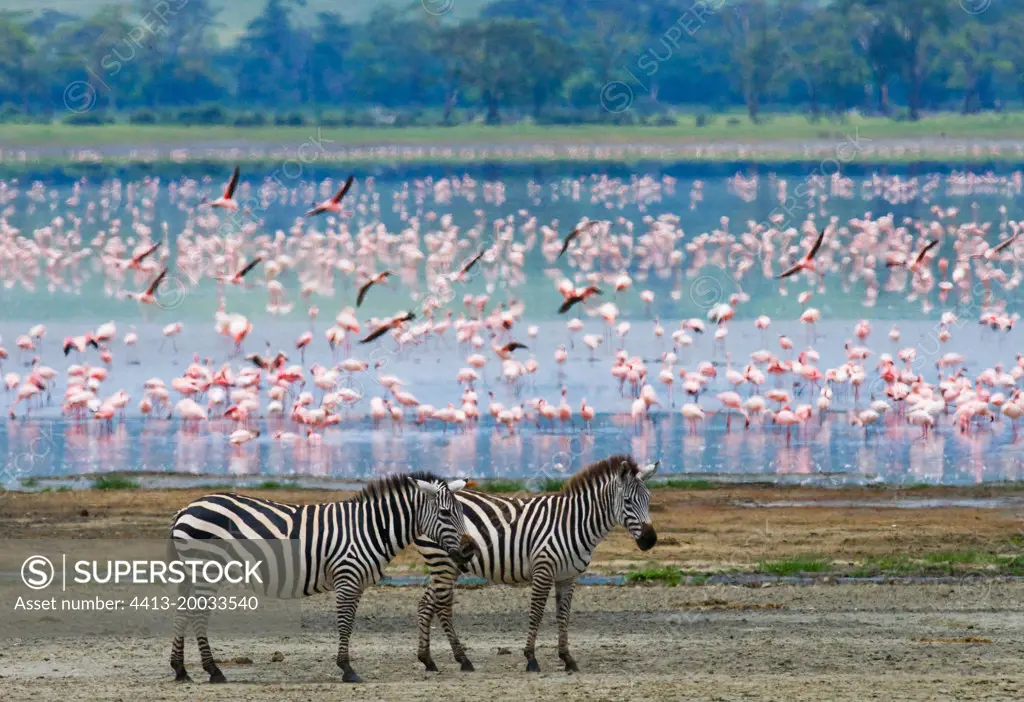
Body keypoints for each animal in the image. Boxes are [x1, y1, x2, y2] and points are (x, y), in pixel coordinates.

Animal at [165, 474, 473, 683]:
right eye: (446, 512)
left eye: (461, 512)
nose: (469, 549)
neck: (370, 528)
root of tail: (186, 508)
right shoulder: (347, 578)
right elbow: (345, 624)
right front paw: (347, 669)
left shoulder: (357, 583)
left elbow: (349, 624)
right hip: (207, 569)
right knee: (197, 615)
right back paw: (213, 670)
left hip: (192, 571)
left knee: (182, 613)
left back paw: (180, 670)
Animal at [411, 456, 659, 675]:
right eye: (628, 501)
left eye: (648, 499)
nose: (650, 540)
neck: (574, 522)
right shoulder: (543, 570)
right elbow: (537, 613)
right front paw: (531, 659)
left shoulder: (567, 577)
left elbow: (563, 615)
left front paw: (567, 658)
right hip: (443, 561)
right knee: (442, 607)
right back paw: (463, 660)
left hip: (447, 565)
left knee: (425, 604)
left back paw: (428, 660)